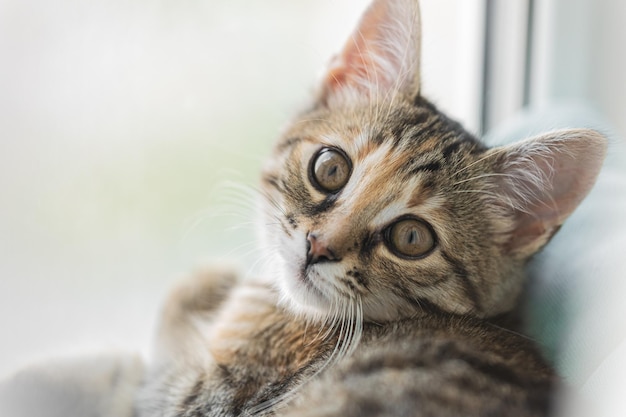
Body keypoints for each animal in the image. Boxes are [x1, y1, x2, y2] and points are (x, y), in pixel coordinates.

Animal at [133, 0, 604, 414]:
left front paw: (202, 283)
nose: (318, 246)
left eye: (411, 237)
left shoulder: (206, 397)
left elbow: (166, 357)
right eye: (330, 168)